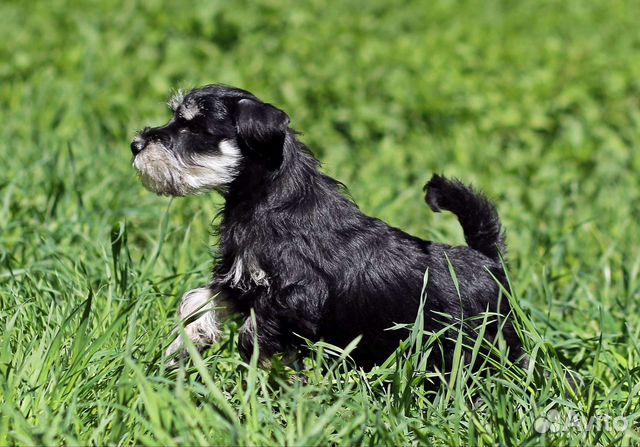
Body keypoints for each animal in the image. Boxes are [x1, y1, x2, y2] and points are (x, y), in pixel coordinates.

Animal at [132, 84, 524, 372]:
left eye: (193, 128)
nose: (136, 144)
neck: (266, 200)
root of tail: (486, 259)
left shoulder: (295, 296)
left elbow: (256, 335)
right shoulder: (242, 282)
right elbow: (197, 300)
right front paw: (187, 341)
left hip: (484, 338)